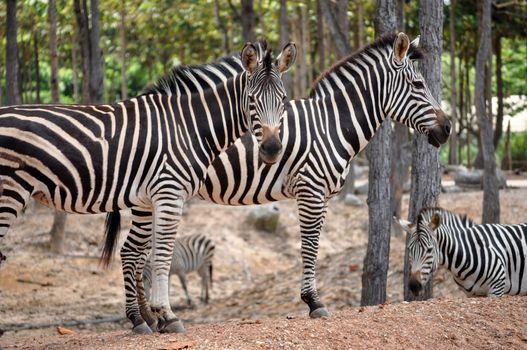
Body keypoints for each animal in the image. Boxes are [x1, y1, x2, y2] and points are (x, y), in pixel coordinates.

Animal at [0, 41, 296, 334]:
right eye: (252, 100)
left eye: (283, 100)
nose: (272, 149)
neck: (187, 126)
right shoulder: (170, 192)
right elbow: (163, 253)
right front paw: (167, 314)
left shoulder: (148, 198)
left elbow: (142, 252)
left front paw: (146, 317)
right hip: (10, 191)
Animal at [106, 31, 450, 318]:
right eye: (419, 86)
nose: (447, 129)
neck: (331, 125)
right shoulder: (311, 189)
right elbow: (310, 244)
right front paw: (313, 302)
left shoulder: (322, 194)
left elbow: (314, 243)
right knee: (132, 253)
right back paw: (143, 318)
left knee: (135, 253)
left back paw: (148, 318)